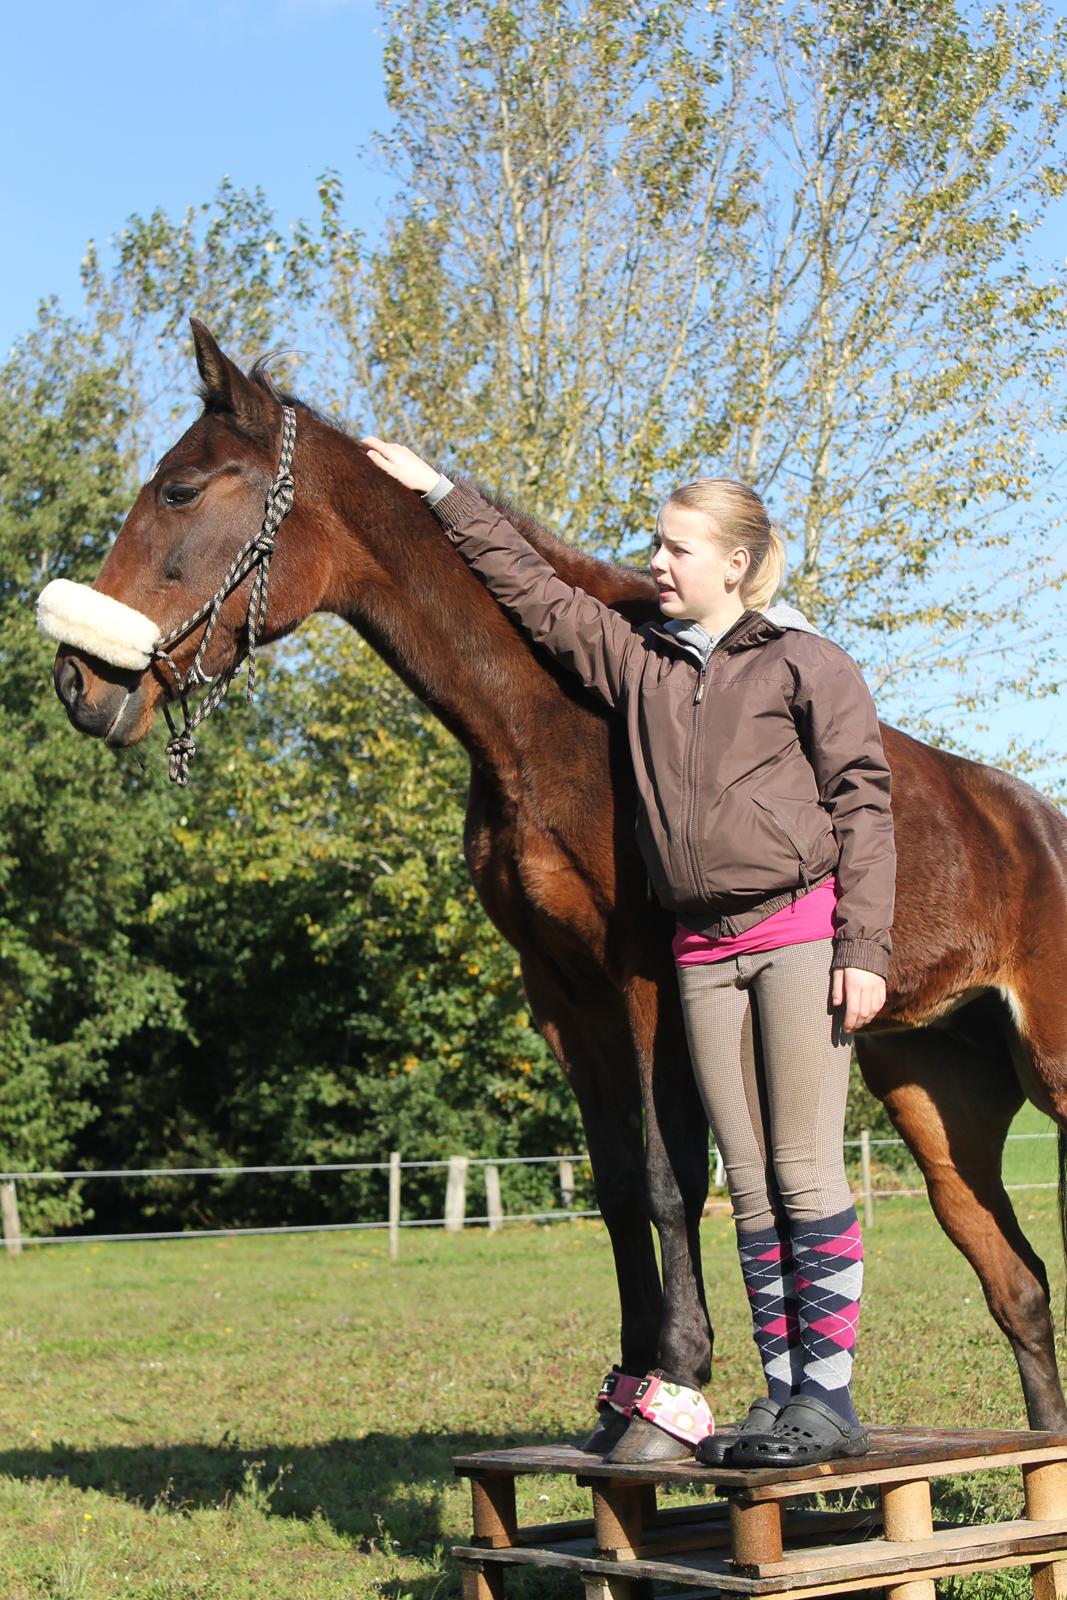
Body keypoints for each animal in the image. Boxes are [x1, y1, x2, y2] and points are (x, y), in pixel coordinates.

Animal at [45, 318, 1067, 1459]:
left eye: (182, 489)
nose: (78, 685)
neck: (557, 718)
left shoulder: (646, 981)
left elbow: (669, 1176)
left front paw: (670, 1400)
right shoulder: (561, 991)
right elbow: (616, 1180)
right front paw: (622, 1396)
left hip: (1048, 1068)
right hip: (934, 1095)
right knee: (1015, 1282)